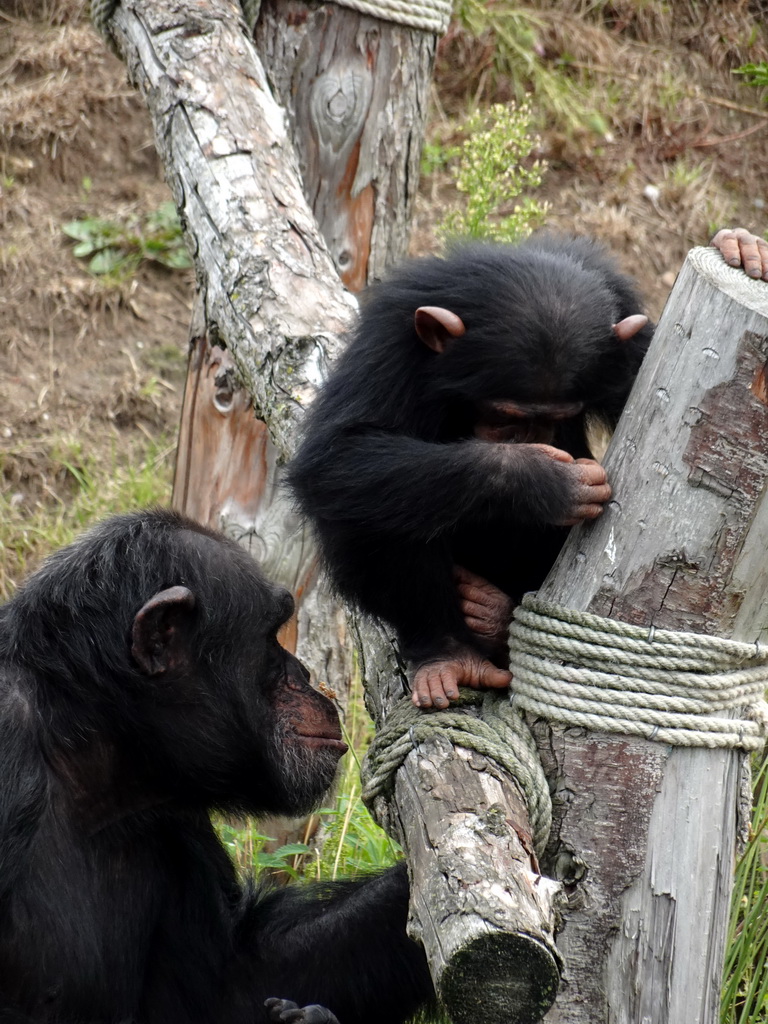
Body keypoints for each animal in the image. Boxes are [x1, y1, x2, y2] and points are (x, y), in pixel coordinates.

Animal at [288, 227, 768, 708]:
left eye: (556, 417)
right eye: (504, 416)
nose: (526, 439)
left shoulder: (632, 339)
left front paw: (744, 249)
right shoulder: (390, 337)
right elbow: (339, 451)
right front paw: (542, 481)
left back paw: (496, 619)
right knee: (369, 508)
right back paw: (449, 652)